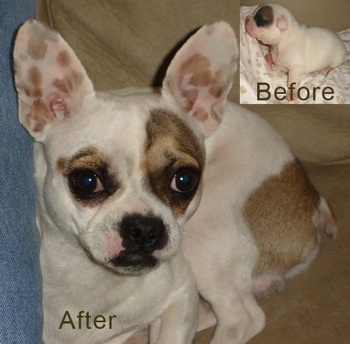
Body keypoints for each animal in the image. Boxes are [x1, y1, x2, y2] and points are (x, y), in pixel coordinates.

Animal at [14, 18, 340, 344]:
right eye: (86, 181)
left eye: (184, 180)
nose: (143, 229)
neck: (95, 277)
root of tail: (313, 199)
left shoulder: (180, 294)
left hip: (206, 235)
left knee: (242, 317)